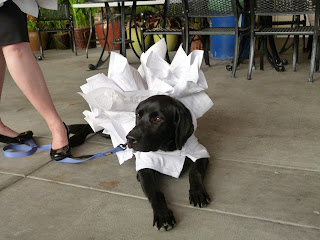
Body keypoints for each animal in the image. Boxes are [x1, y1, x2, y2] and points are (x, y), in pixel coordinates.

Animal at [125, 95, 210, 231]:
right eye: (138, 115)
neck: (169, 149)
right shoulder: (144, 170)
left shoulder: (200, 154)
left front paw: (198, 193)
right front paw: (163, 215)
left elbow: (195, 172)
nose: (129, 138)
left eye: (158, 119)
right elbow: (156, 193)